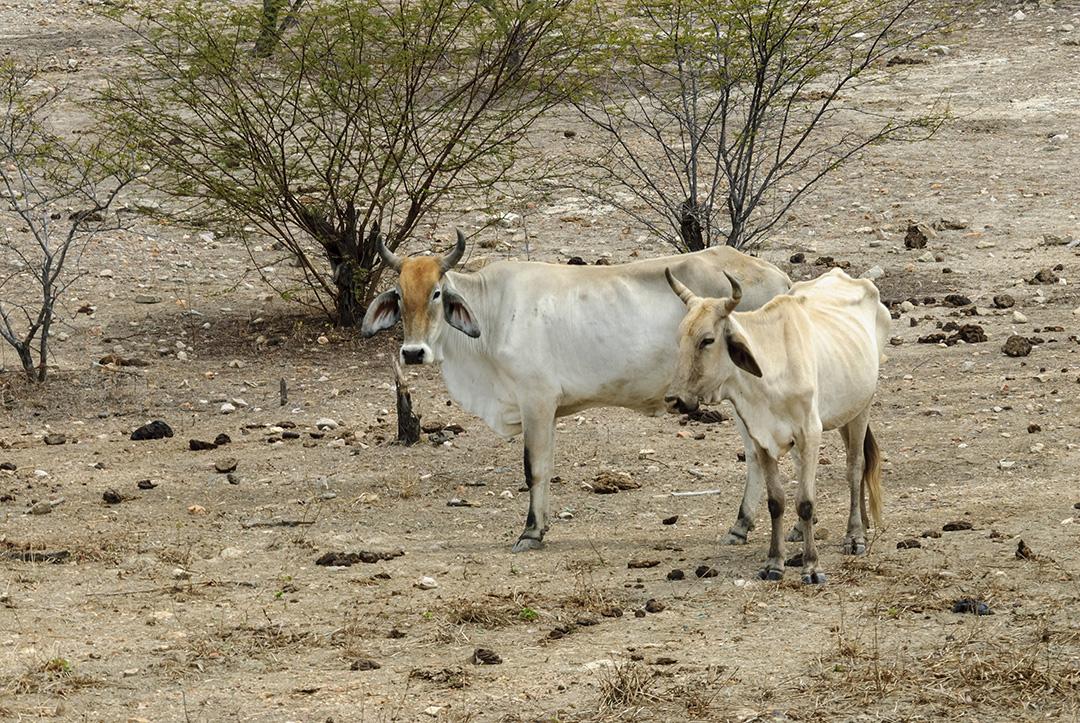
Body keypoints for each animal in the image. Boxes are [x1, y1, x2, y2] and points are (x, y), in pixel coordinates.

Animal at [362, 232, 794, 553]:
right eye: (399, 294)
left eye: (436, 293)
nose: (413, 352)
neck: (494, 313)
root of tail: (780, 278)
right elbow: (545, 467)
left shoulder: (536, 402)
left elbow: (534, 468)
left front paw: (530, 532)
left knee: (760, 454)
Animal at [665, 264, 885, 579]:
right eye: (680, 338)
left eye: (707, 340)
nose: (675, 399)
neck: (771, 368)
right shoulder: (762, 437)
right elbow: (776, 502)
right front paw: (774, 562)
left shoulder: (810, 432)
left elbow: (805, 501)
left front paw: (811, 566)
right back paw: (810, 529)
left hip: (861, 408)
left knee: (855, 468)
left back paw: (855, 535)